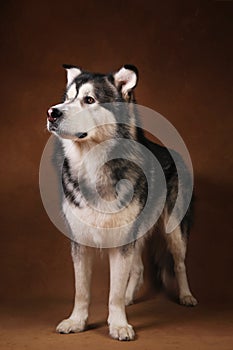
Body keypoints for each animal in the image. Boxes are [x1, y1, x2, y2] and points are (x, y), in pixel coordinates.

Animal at [46, 64, 198, 340]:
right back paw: (130, 297)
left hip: (174, 231)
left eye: (89, 100)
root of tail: (173, 151)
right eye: (68, 98)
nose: (52, 112)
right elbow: (81, 290)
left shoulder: (122, 244)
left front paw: (118, 324)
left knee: (179, 263)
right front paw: (77, 321)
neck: (92, 165)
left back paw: (186, 296)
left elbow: (113, 292)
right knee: (137, 268)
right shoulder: (80, 240)